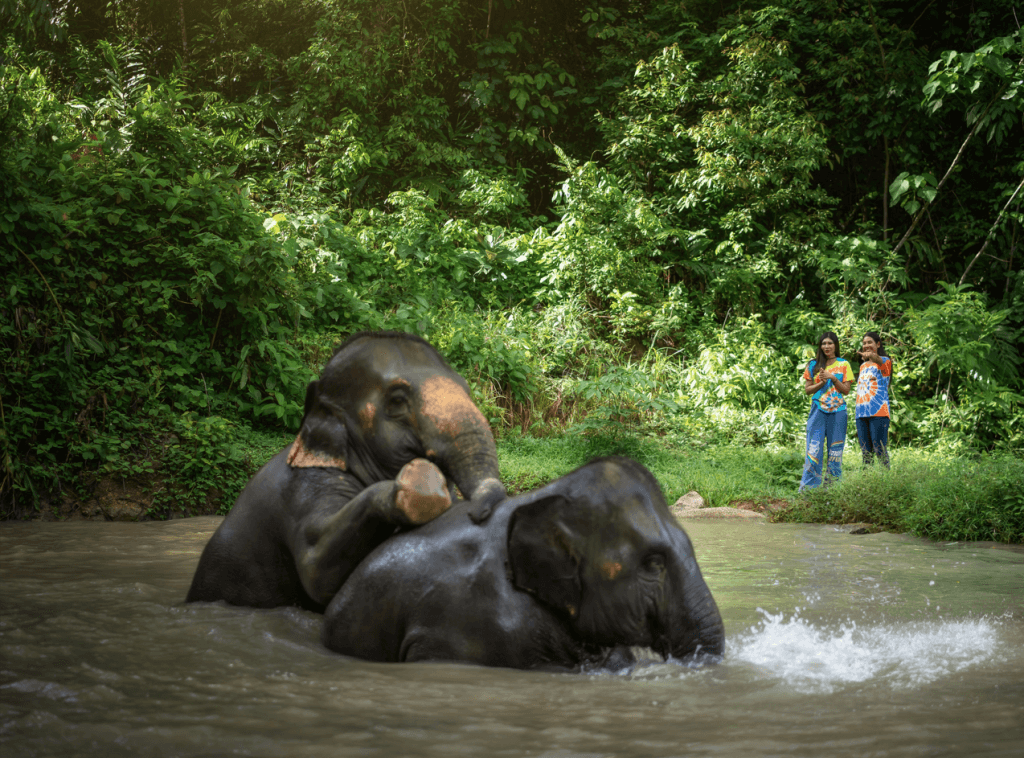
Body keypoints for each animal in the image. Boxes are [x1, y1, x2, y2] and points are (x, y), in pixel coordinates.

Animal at [186, 331, 507, 612]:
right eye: (397, 401)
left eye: (466, 389)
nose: (478, 513)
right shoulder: (303, 489)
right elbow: (316, 570)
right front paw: (420, 484)